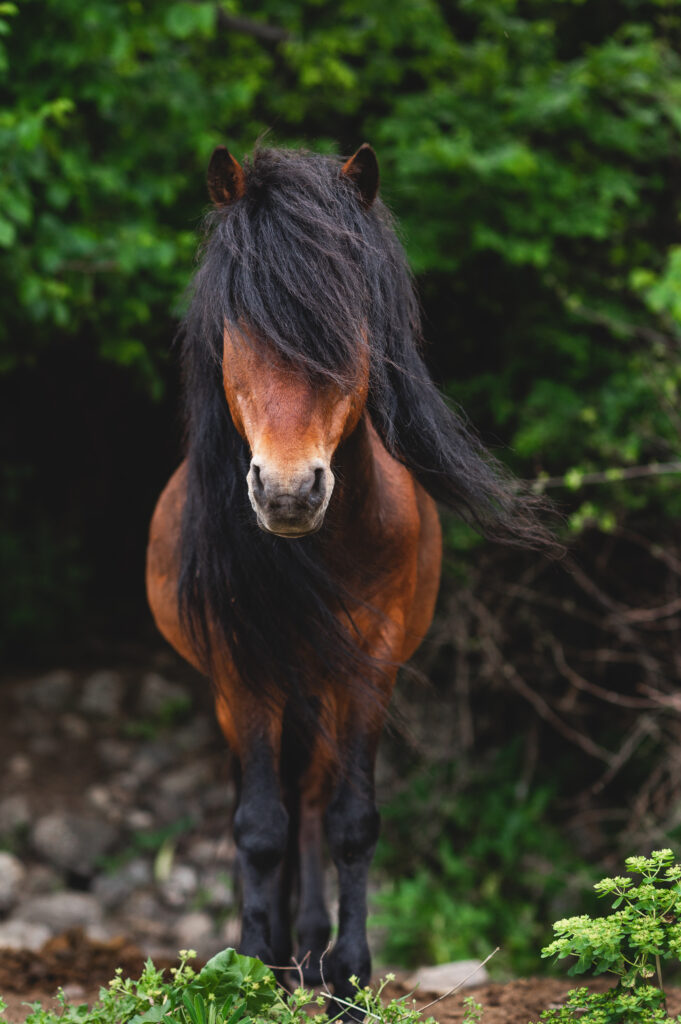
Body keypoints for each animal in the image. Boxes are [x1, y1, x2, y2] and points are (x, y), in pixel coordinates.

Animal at [144, 142, 552, 1007]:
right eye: (238, 325)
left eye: (345, 327)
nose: (287, 491)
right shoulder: (243, 671)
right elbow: (258, 828)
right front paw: (254, 971)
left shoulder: (369, 666)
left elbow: (350, 823)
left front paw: (346, 983)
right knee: (271, 804)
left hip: (321, 688)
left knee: (311, 799)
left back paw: (306, 955)